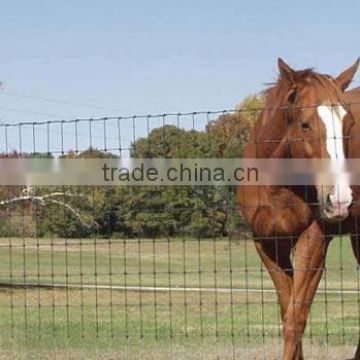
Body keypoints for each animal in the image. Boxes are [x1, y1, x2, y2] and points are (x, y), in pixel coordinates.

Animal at [238, 59, 358, 360]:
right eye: (305, 125)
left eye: (348, 123)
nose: (339, 200)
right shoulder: (269, 244)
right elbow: (287, 309)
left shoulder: (314, 240)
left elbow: (296, 319)